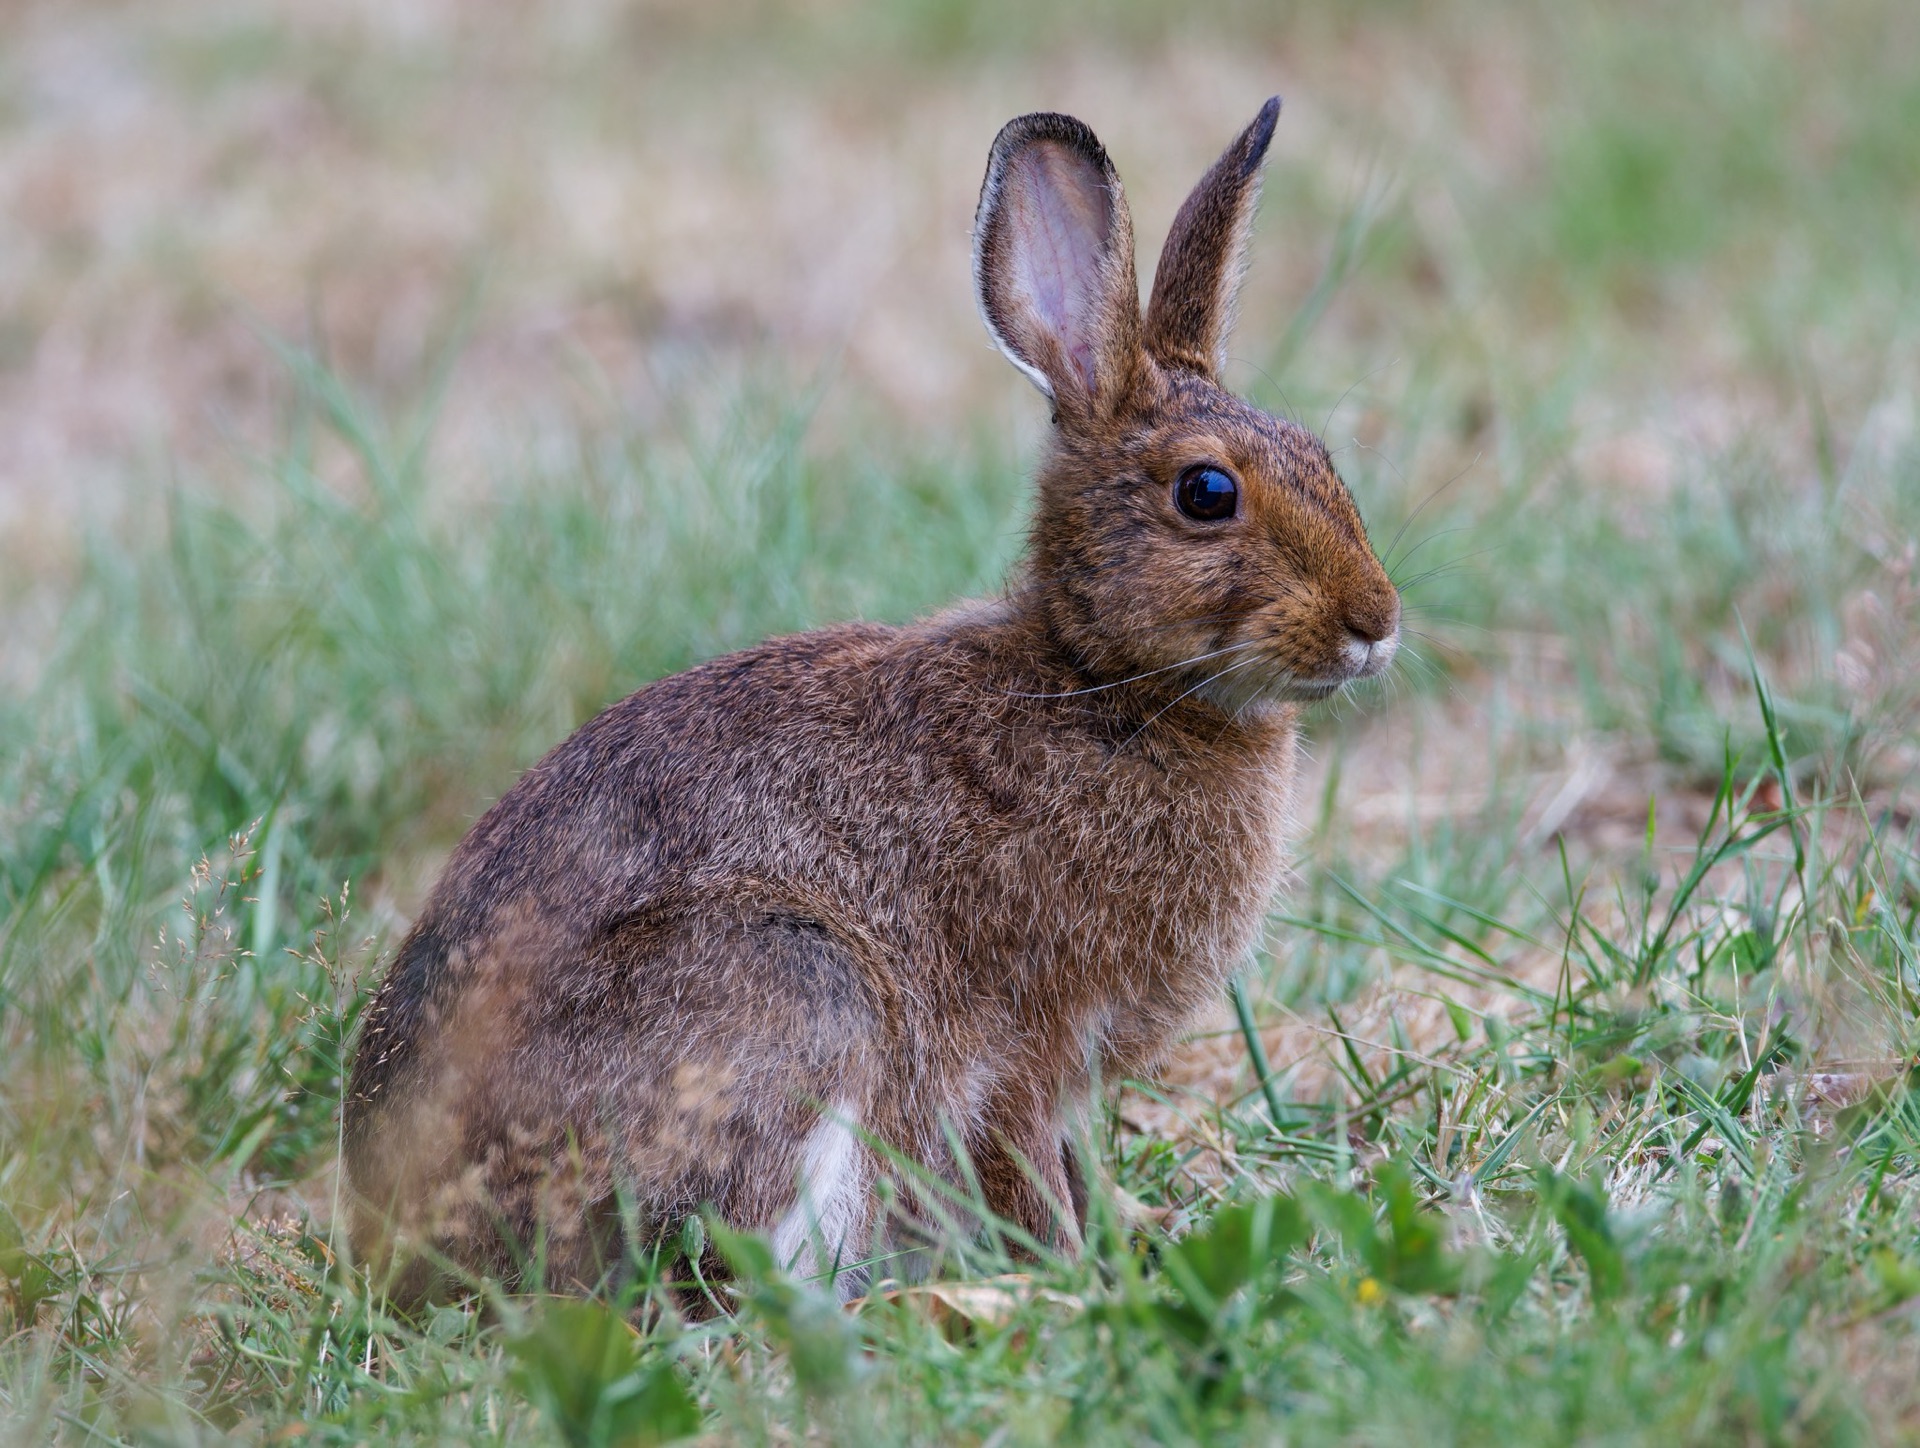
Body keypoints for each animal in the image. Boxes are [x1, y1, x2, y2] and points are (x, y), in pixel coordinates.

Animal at [343, 96, 1400, 1303]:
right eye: (1207, 492)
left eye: (1323, 455)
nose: (1377, 620)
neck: (1107, 684)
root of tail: (400, 1237)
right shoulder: (1026, 1042)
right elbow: (1029, 1160)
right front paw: (1081, 1279)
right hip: (794, 986)